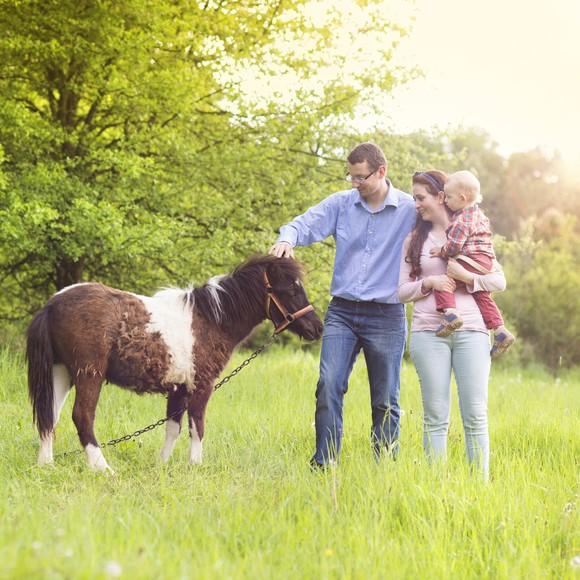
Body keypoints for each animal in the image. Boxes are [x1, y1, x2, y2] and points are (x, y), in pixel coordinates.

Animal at [26, 256, 322, 474]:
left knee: (49, 415)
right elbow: (197, 426)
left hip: (61, 372)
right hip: (88, 374)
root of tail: (52, 304)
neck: (210, 319)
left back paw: (46, 465)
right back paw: (103, 468)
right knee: (82, 417)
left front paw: (162, 464)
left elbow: (172, 427)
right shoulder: (201, 385)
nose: (316, 328)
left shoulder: (178, 388)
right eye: (291, 288)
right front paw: (196, 465)